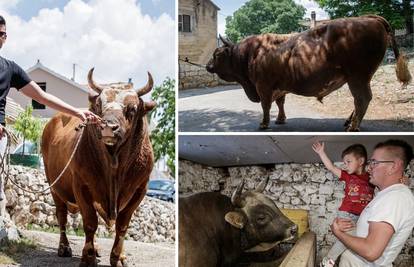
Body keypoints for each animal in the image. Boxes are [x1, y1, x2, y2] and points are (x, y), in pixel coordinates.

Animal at [42, 69, 156, 267]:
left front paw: (118, 257)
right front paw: (88, 257)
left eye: (132, 108)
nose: (108, 126)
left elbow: (122, 225)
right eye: (99, 104)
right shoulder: (81, 185)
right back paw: (64, 247)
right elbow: (90, 222)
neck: (114, 165)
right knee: (62, 216)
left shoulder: (140, 189)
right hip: (55, 187)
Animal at [207, 15, 410, 131]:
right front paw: (280, 120)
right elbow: (280, 103)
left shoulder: (263, 86)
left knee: (362, 99)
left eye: (217, 54)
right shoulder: (279, 87)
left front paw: (264, 124)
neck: (252, 52)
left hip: (357, 77)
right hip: (359, 78)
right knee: (360, 100)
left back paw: (353, 127)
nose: (208, 66)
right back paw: (349, 122)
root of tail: (370, 19)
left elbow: (266, 105)